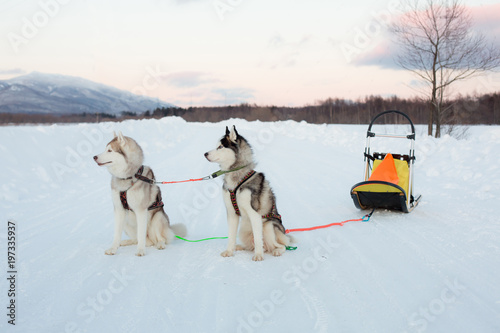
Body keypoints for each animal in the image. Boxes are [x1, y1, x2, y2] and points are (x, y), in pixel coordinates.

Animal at [204, 124, 292, 260]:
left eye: (220, 147)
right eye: (216, 145)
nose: (205, 154)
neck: (237, 176)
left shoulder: (254, 214)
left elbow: (258, 238)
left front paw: (258, 255)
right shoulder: (231, 214)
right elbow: (231, 236)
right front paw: (229, 251)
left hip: (269, 226)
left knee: (281, 246)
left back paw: (276, 251)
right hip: (243, 230)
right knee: (250, 245)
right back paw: (239, 247)